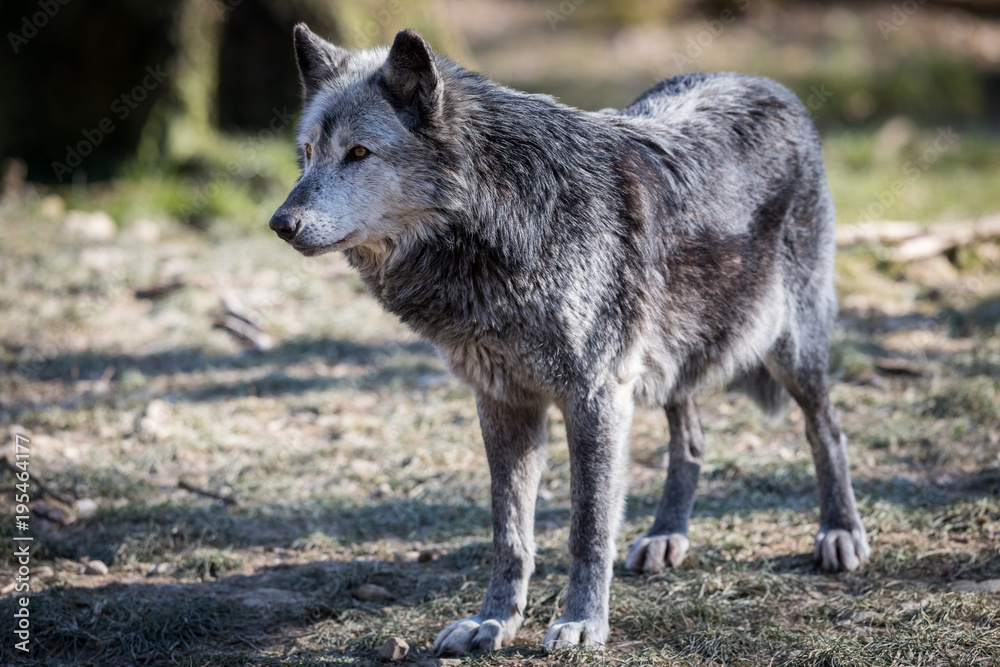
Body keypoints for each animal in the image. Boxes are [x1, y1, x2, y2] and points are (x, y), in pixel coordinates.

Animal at [270, 25, 870, 654]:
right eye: (308, 153)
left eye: (359, 153)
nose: (280, 223)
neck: (505, 224)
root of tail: (766, 83)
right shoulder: (503, 402)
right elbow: (510, 534)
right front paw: (493, 621)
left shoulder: (596, 398)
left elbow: (588, 527)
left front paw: (582, 622)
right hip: (674, 357)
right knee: (691, 439)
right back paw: (667, 536)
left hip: (792, 351)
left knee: (827, 429)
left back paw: (840, 532)